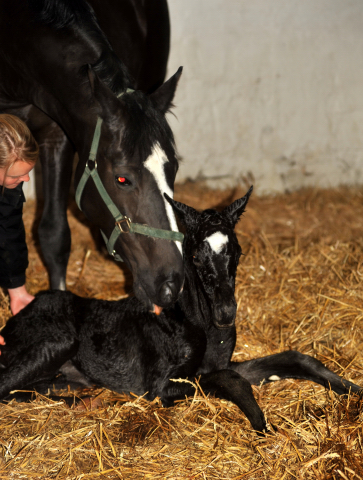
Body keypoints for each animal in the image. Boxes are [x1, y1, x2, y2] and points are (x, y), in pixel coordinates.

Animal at [0, 188, 360, 436]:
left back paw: (84, 399)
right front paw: (262, 425)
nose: (226, 313)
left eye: (238, 251)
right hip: (54, 344)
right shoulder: (161, 386)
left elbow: (294, 359)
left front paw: (353, 390)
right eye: (197, 257)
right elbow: (228, 380)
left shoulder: (219, 363)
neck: (199, 324)